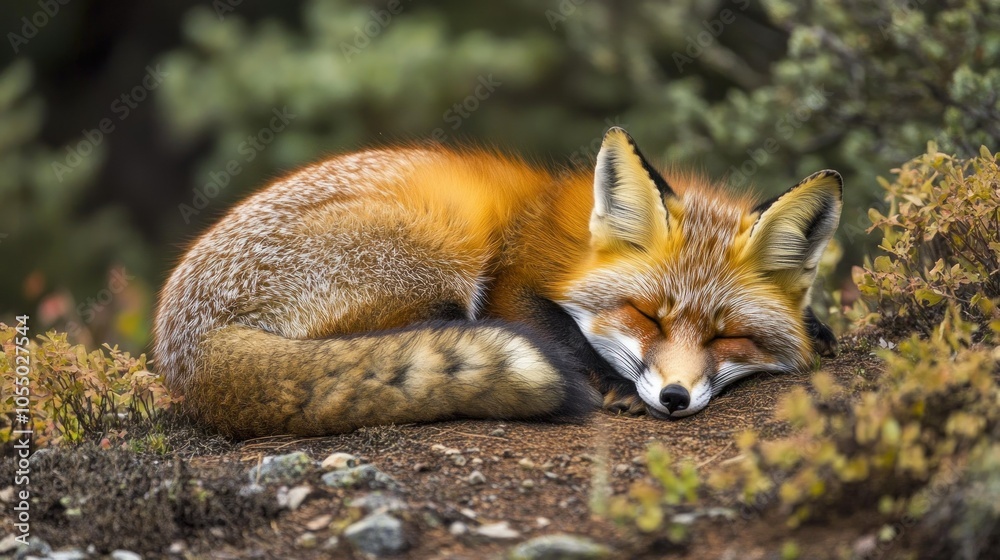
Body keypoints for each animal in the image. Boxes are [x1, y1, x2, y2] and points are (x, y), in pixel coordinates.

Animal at [153, 127, 842, 439]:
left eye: (728, 338)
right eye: (646, 316)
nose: (674, 397)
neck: (570, 247)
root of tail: (184, 349)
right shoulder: (512, 279)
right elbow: (558, 333)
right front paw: (614, 383)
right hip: (442, 244)